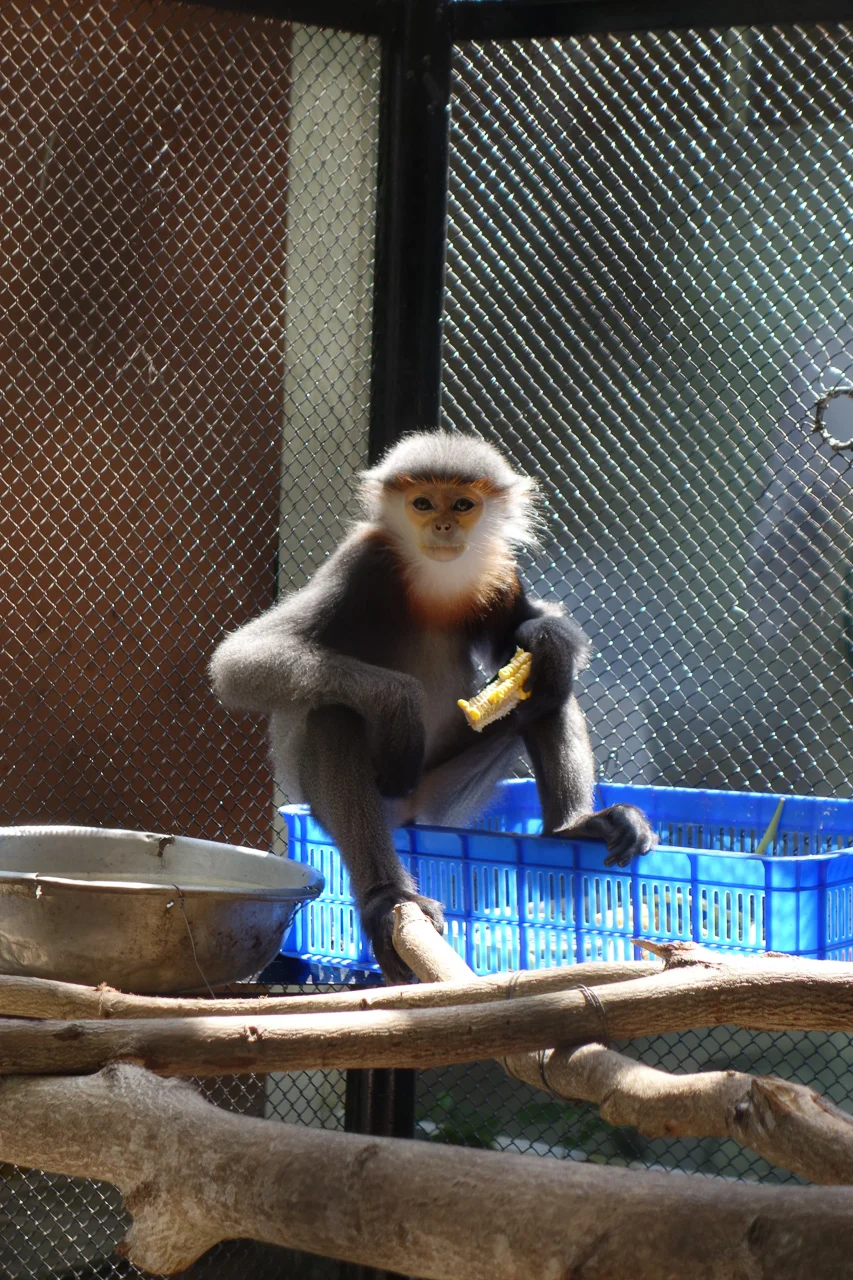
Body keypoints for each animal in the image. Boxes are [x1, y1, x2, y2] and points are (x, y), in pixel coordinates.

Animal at [210, 430, 654, 981]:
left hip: (448, 793)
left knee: (550, 690)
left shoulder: (502, 571)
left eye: (462, 504)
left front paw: (547, 638)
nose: (442, 525)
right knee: (333, 712)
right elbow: (238, 661)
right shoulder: (362, 560)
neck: (437, 579)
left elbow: (530, 637)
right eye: (422, 503)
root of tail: (409, 813)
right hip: (365, 797)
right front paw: (400, 702)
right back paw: (389, 898)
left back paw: (575, 825)